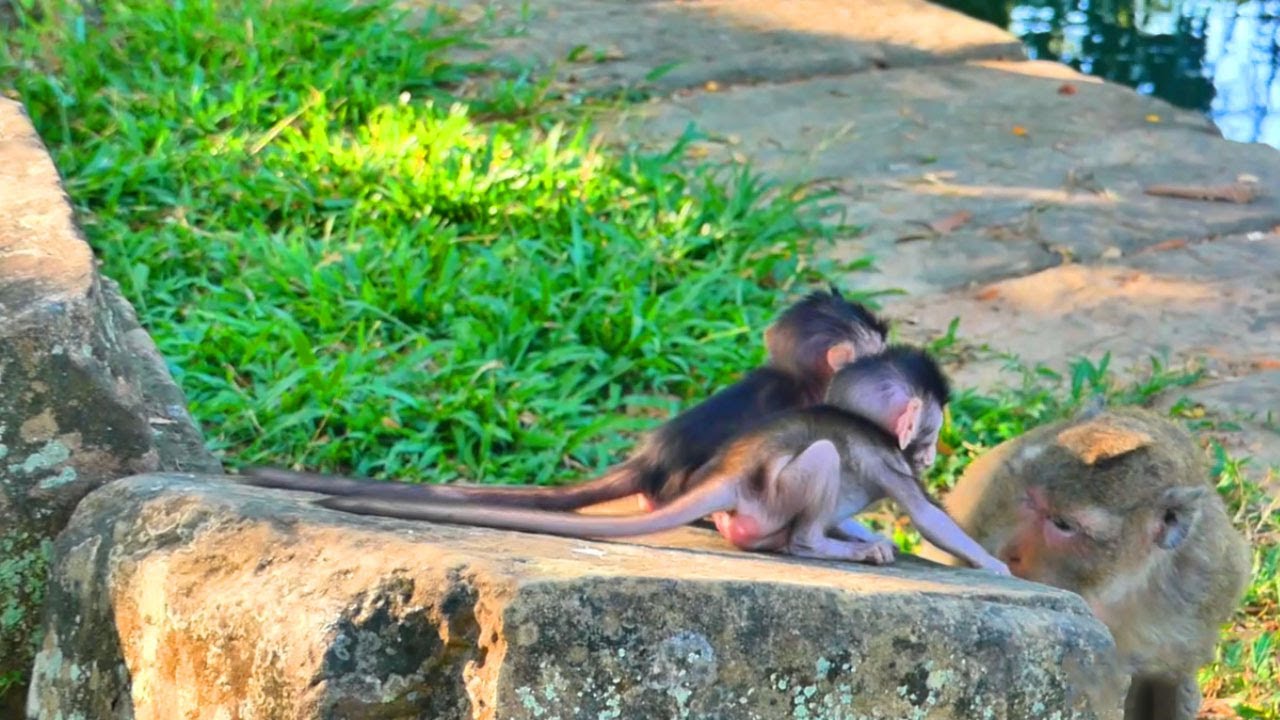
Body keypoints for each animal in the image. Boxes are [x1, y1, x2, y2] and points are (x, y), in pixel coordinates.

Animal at [315, 346, 1011, 574]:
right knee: (813, 472)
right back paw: (819, 546)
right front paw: (997, 566)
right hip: (773, 492)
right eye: (928, 432)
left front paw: (862, 530)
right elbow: (927, 516)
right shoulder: (891, 462)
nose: (930, 449)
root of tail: (729, 476)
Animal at [917, 405, 1251, 719]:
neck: (1122, 585)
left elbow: (1171, 679)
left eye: (1063, 524)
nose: (1010, 553)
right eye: (1029, 499)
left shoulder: (1201, 591)